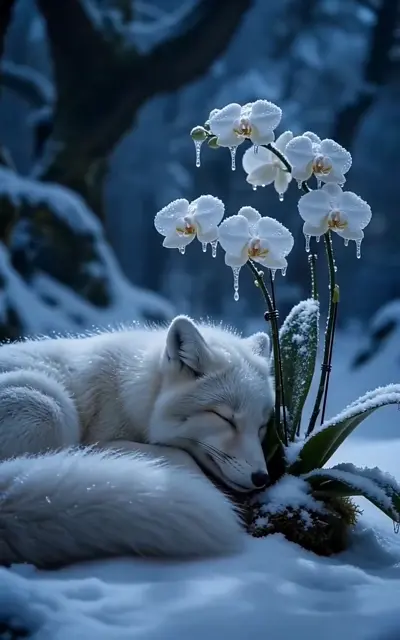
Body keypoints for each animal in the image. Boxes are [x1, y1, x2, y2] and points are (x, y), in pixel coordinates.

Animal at [0, 315, 274, 568]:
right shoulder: (102, 440)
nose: (261, 477)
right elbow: (181, 455)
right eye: (225, 418)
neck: (126, 394)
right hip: (50, 411)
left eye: (261, 426)